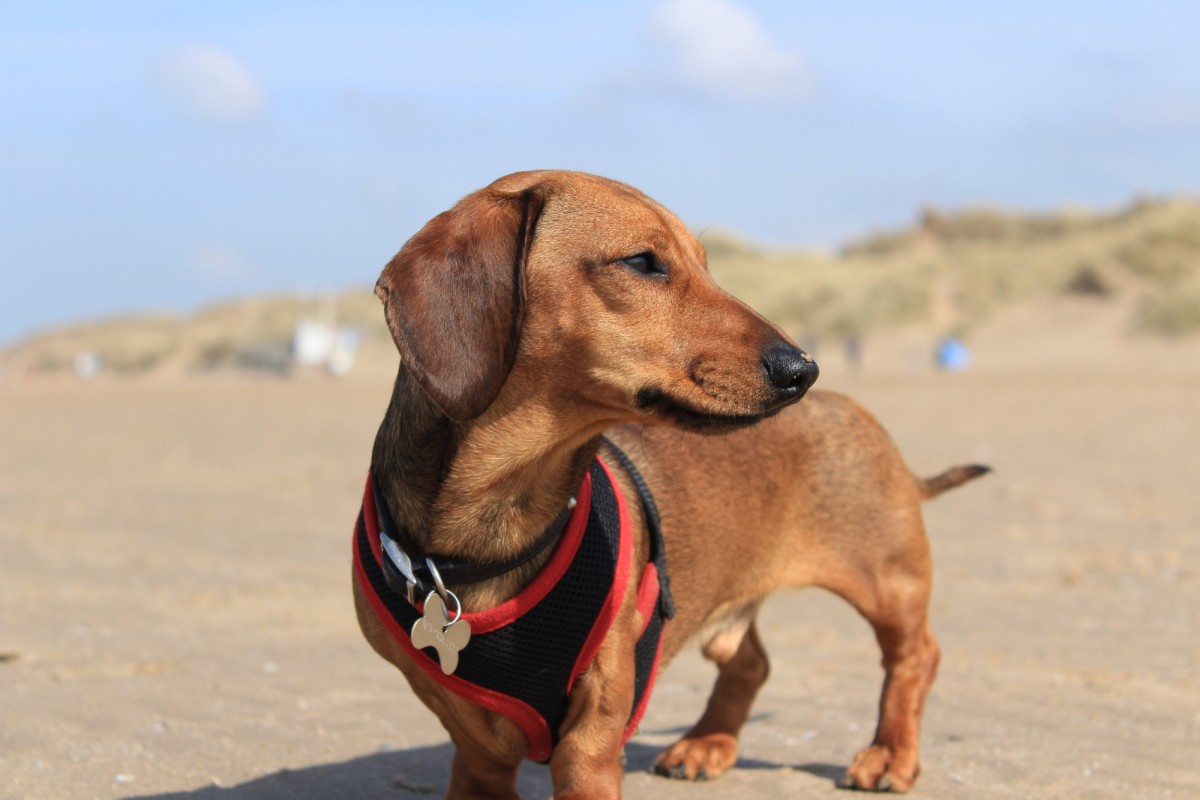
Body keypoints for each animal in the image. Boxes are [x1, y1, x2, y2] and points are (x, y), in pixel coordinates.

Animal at [350, 167, 988, 796]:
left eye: (705, 263)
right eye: (642, 261)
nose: (802, 370)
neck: (494, 532)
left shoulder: (590, 744)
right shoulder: (473, 744)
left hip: (889, 585)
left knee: (915, 658)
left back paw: (890, 752)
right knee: (750, 663)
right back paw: (707, 743)